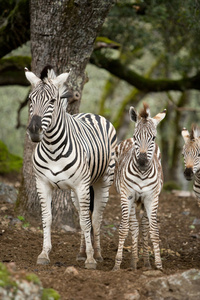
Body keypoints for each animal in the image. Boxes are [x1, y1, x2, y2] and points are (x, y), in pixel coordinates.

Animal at [24, 65, 117, 270]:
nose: (34, 130)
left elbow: (86, 221)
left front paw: (91, 259)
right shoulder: (42, 184)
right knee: (85, 216)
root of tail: (91, 114)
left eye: (52, 100)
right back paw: (81, 253)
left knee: (95, 217)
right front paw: (44, 254)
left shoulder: (82, 185)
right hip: (77, 192)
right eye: (30, 99)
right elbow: (47, 218)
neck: (53, 148)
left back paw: (97, 254)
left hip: (103, 182)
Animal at [112, 103, 166, 272]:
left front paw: (158, 265)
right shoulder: (127, 195)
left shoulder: (151, 198)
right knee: (134, 225)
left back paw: (146, 263)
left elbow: (154, 230)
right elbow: (124, 228)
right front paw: (117, 264)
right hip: (130, 199)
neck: (142, 173)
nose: (142, 161)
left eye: (153, 138)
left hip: (146, 200)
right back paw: (133, 262)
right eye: (136, 137)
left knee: (144, 226)